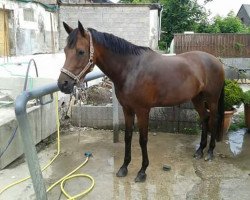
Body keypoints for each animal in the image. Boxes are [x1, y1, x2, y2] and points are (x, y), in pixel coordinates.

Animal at [58, 21, 225, 182]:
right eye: (65, 51)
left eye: (81, 52)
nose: (63, 84)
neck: (131, 69)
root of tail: (216, 60)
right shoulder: (127, 109)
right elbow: (128, 137)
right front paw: (124, 167)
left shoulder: (142, 110)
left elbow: (142, 139)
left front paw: (142, 171)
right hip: (197, 98)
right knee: (204, 118)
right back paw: (200, 150)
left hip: (212, 99)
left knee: (213, 119)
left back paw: (210, 152)